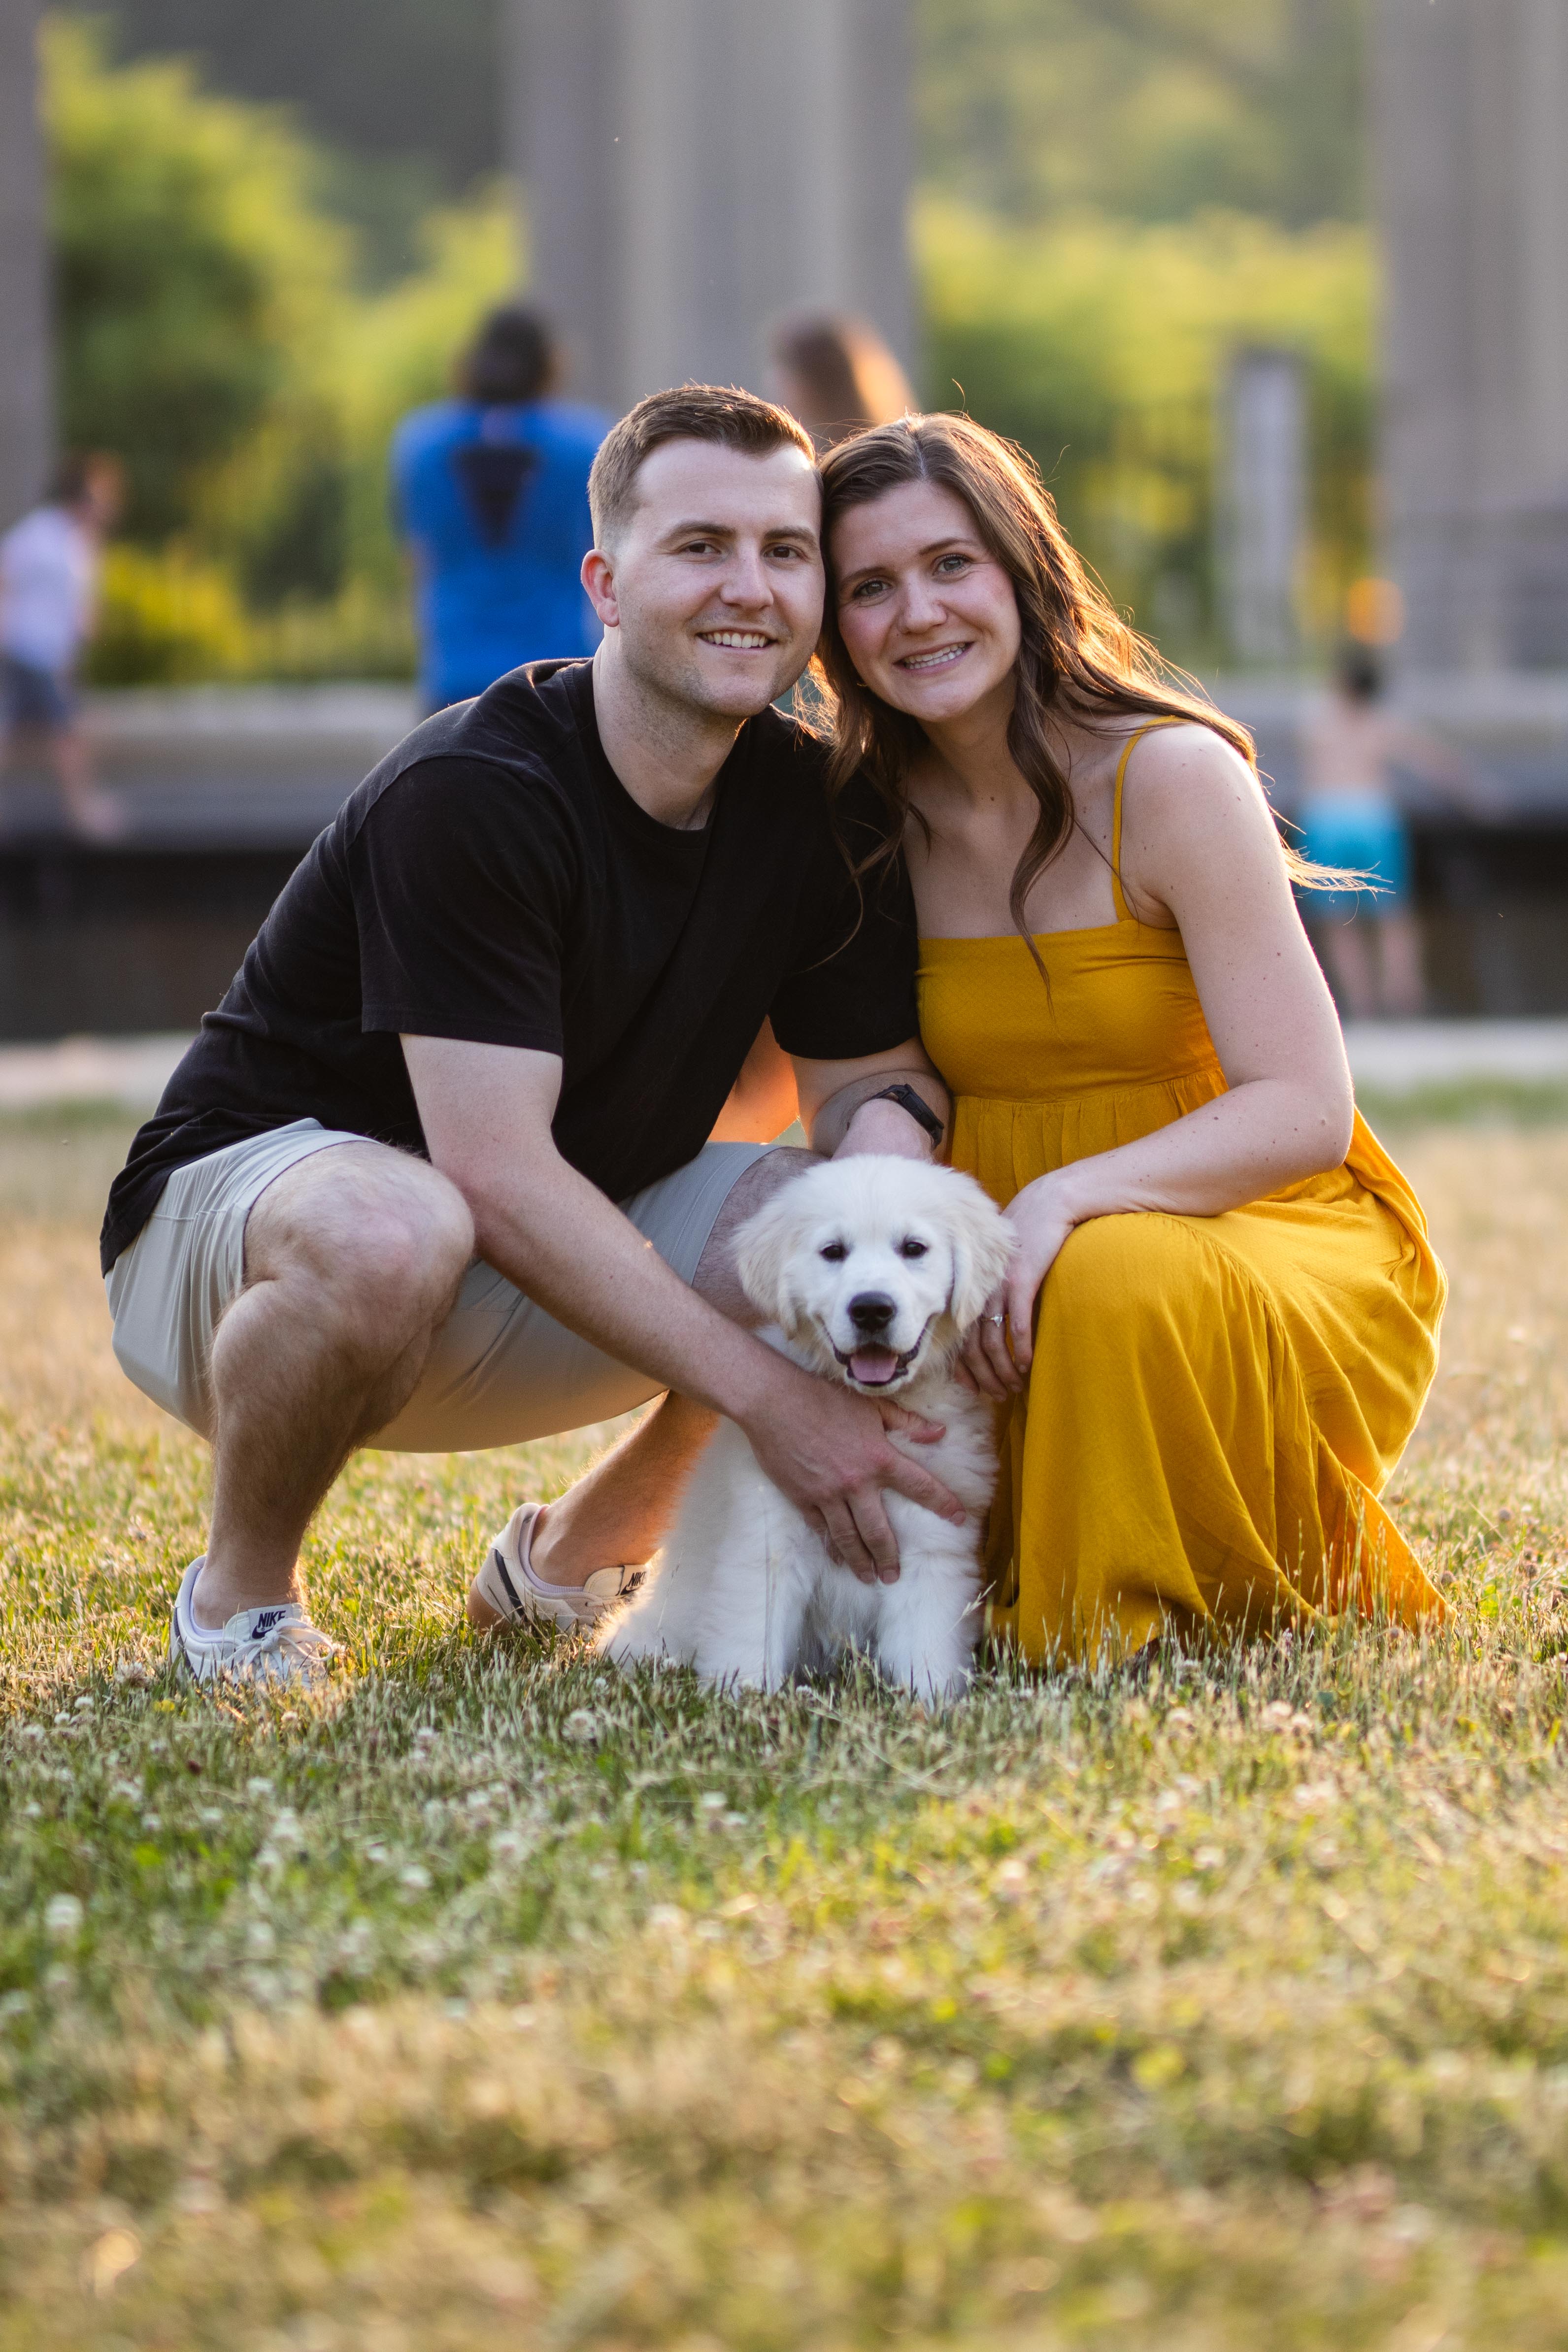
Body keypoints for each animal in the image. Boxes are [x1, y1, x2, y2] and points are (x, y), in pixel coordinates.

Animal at [592, 1161, 1020, 1703]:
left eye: (914, 1248)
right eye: (833, 1251)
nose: (872, 1309)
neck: (877, 1412)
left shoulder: (933, 1544)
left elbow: (925, 1645)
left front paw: (929, 1703)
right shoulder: (770, 1537)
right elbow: (752, 1633)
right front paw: (746, 1700)